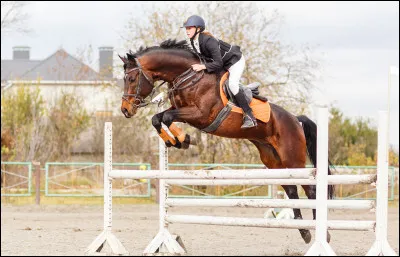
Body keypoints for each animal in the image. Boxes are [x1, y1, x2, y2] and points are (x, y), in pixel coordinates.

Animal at [119, 39, 334, 243]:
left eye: (132, 78)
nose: (125, 110)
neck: (188, 77)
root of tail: (296, 119)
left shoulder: (200, 115)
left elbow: (166, 117)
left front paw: (182, 139)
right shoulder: (182, 111)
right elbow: (158, 118)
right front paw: (180, 140)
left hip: (292, 159)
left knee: (311, 190)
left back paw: (321, 233)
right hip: (273, 160)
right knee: (291, 189)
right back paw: (304, 230)